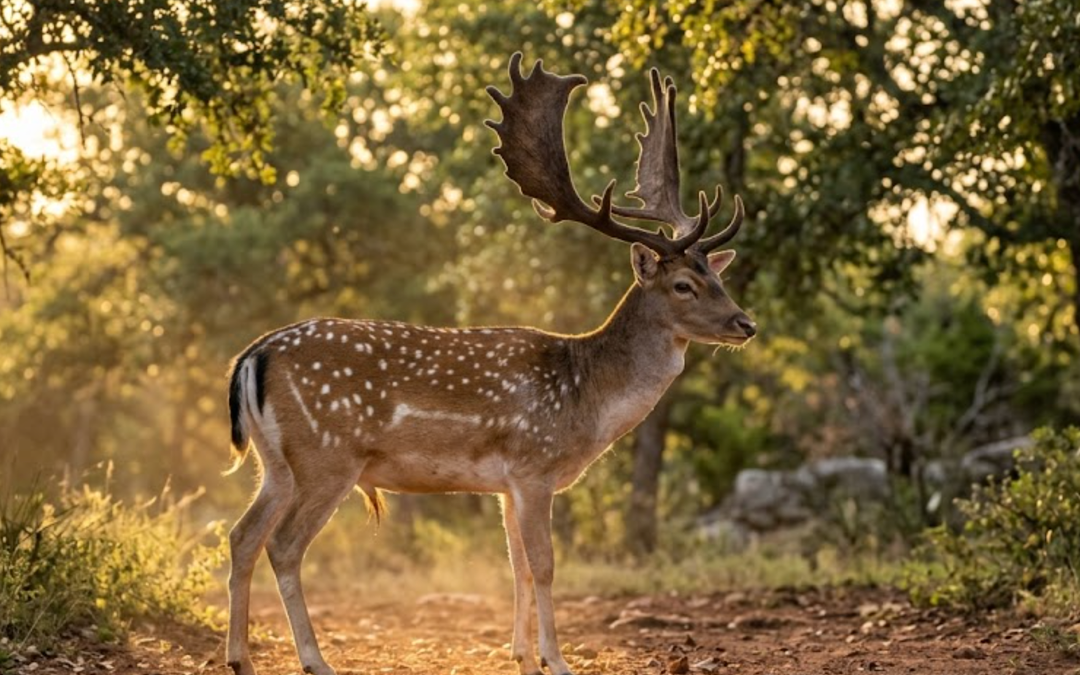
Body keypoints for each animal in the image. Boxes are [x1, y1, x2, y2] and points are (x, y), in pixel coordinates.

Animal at [223, 52, 757, 675]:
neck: (586, 400)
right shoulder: (533, 466)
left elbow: (516, 565)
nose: (745, 323)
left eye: (716, 275)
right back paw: (315, 660)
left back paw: (240, 659)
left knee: (241, 535)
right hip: (327, 455)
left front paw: (522, 655)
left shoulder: (506, 483)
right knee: (283, 545)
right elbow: (545, 565)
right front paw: (557, 660)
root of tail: (252, 355)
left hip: (276, 463)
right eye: (682, 285)